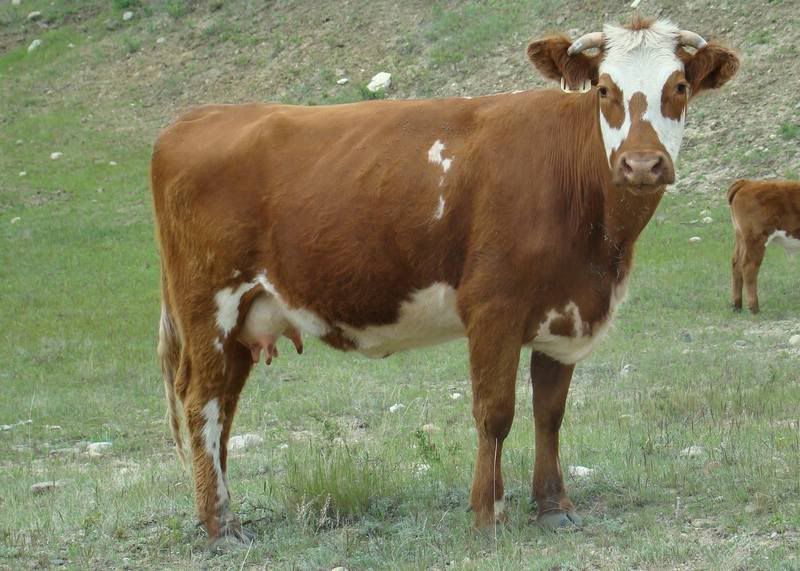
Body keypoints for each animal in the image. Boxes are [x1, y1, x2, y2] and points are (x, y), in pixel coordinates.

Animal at [151, 17, 738, 544]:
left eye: (679, 86)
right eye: (604, 89)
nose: (641, 165)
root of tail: (194, 118)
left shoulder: (564, 312)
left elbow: (549, 413)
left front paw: (553, 507)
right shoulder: (494, 306)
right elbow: (494, 413)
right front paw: (487, 515)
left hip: (243, 321)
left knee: (224, 408)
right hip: (209, 308)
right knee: (202, 404)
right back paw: (222, 527)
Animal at [729, 179, 800, 313]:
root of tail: (747, 183)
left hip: (741, 237)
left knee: (736, 264)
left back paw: (737, 306)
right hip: (756, 238)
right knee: (749, 267)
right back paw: (754, 308)